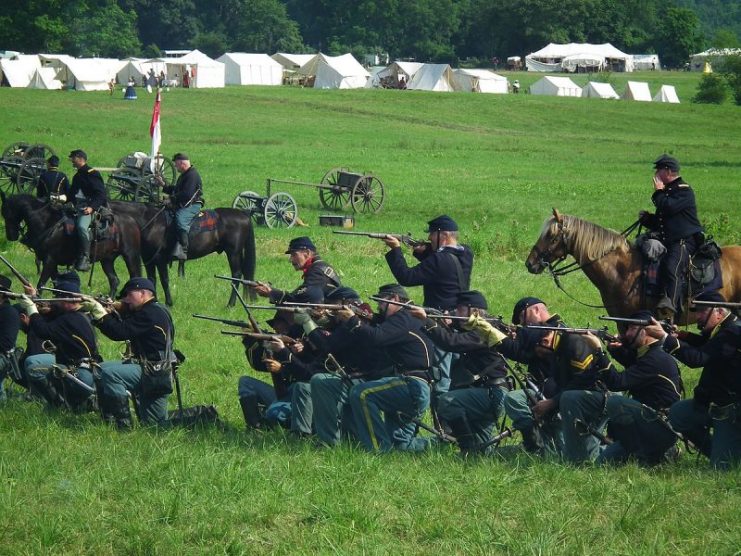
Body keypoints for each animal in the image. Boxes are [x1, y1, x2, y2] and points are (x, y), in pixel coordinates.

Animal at [1, 192, 142, 296]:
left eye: (7, 213)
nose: (11, 236)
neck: (47, 223)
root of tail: (131, 220)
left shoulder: (49, 261)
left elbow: (41, 284)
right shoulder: (52, 264)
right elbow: (56, 284)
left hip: (130, 256)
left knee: (135, 277)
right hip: (107, 260)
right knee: (114, 281)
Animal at [110, 200, 258, 306]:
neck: (152, 223)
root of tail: (244, 215)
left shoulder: (160, 259)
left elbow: (164, 280)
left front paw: (168, 303)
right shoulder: (149, 260)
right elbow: (151, 280)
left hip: (233, 253)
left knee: (237, 274)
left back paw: (230, 304)